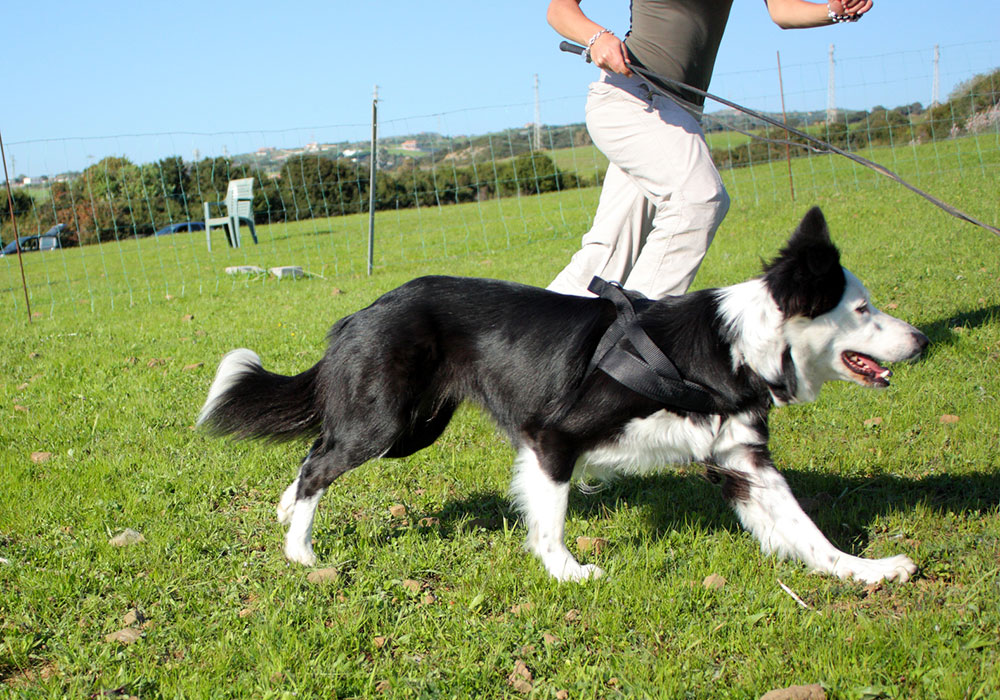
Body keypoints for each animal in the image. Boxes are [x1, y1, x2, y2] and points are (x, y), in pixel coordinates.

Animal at [201, 206, 928, 584]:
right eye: (862, 310)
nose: (920, 341)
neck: (727, 349)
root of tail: (357, 315)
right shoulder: (553, 436)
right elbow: (549, 519)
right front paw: (569, 573)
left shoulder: (743, 460)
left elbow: (805, 529)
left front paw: (866, 569)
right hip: (385, 423)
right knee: (319, 462)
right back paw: (300, 550)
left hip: (412, 427)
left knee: (313, 455)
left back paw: (284, 515)